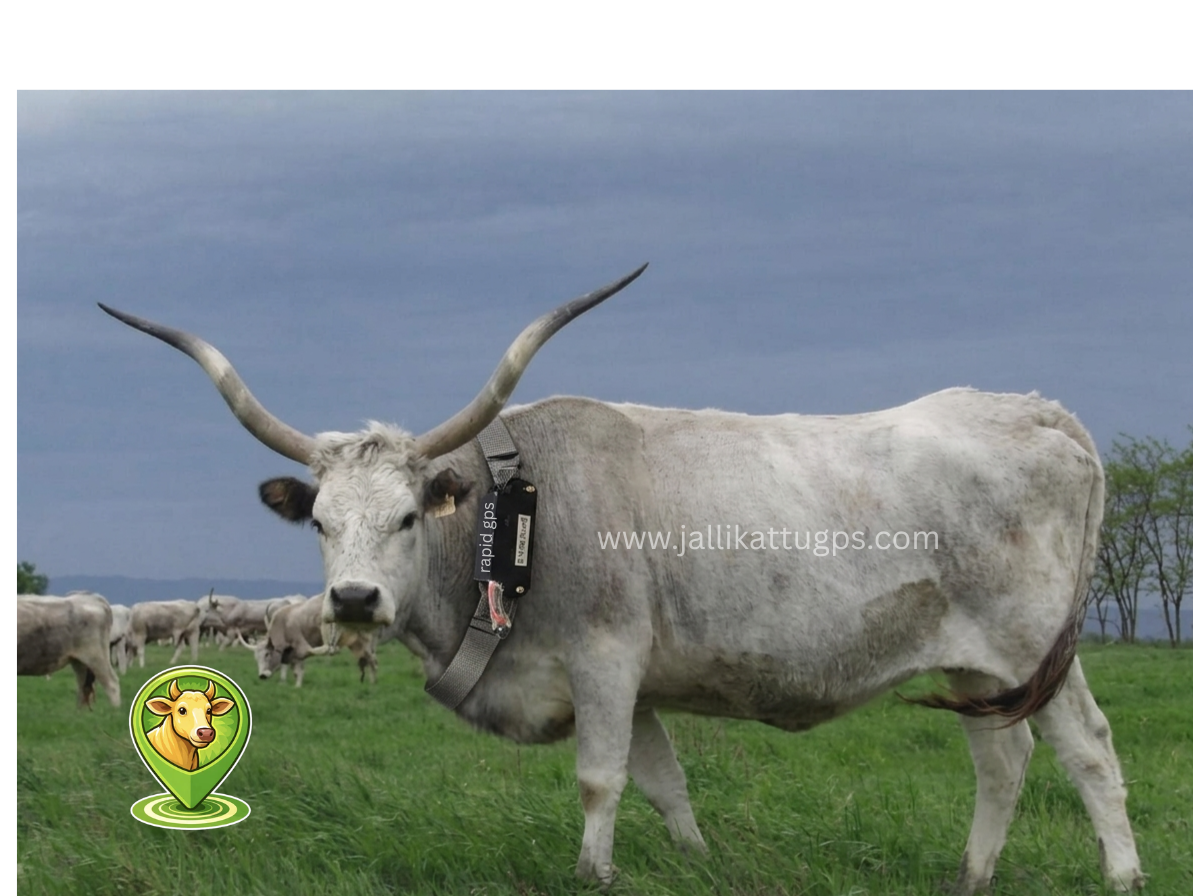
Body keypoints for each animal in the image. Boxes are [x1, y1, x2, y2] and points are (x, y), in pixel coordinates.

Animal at [244, 594, 379, 687]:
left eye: (267, 654)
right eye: (256, 658)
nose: (262, 675)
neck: (283, 624)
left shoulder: (300, 647)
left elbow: (299, 668)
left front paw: (297, 685)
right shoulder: (292, 655)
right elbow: (295, 669)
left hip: (365, 642)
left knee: (373, 661)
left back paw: (373, 684)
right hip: (356, 644)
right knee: (368, 660)